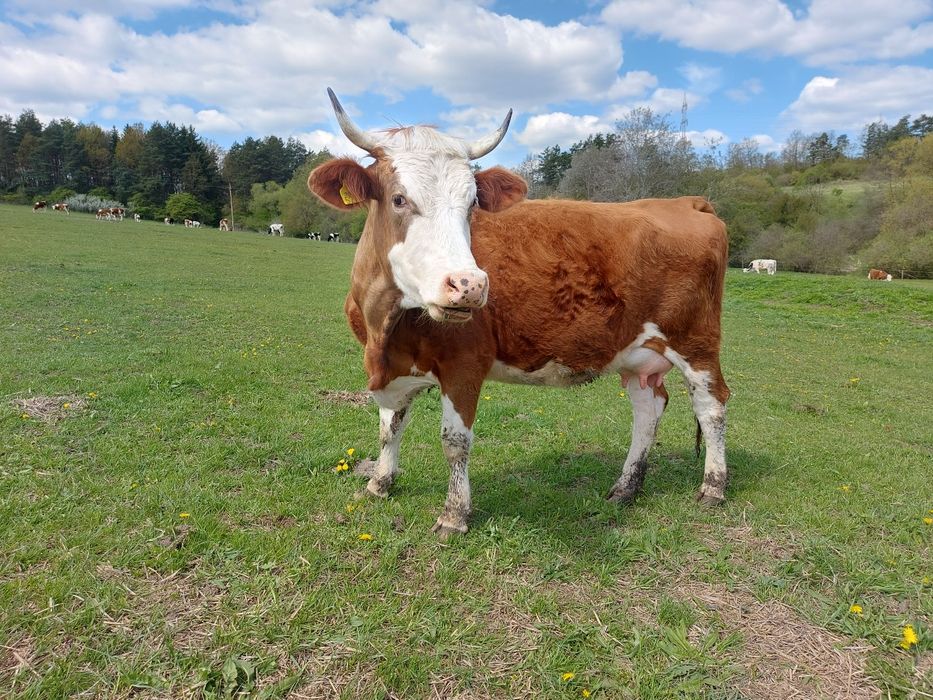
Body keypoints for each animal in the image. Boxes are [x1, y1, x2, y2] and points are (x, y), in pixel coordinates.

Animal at [307, 89, 731, 538]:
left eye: (472, 204)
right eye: (399, 199)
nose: (470, 284)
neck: (386, 328)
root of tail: (686, 202)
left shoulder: (465, 364)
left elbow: (454, 442)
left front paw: (455, 514)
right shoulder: (395, 367)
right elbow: (390, 427)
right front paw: (379, 483)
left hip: (695, 343)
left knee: (711, 405)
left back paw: (713, 487)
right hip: (638, 353)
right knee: (647, 408)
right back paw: (625, 488)